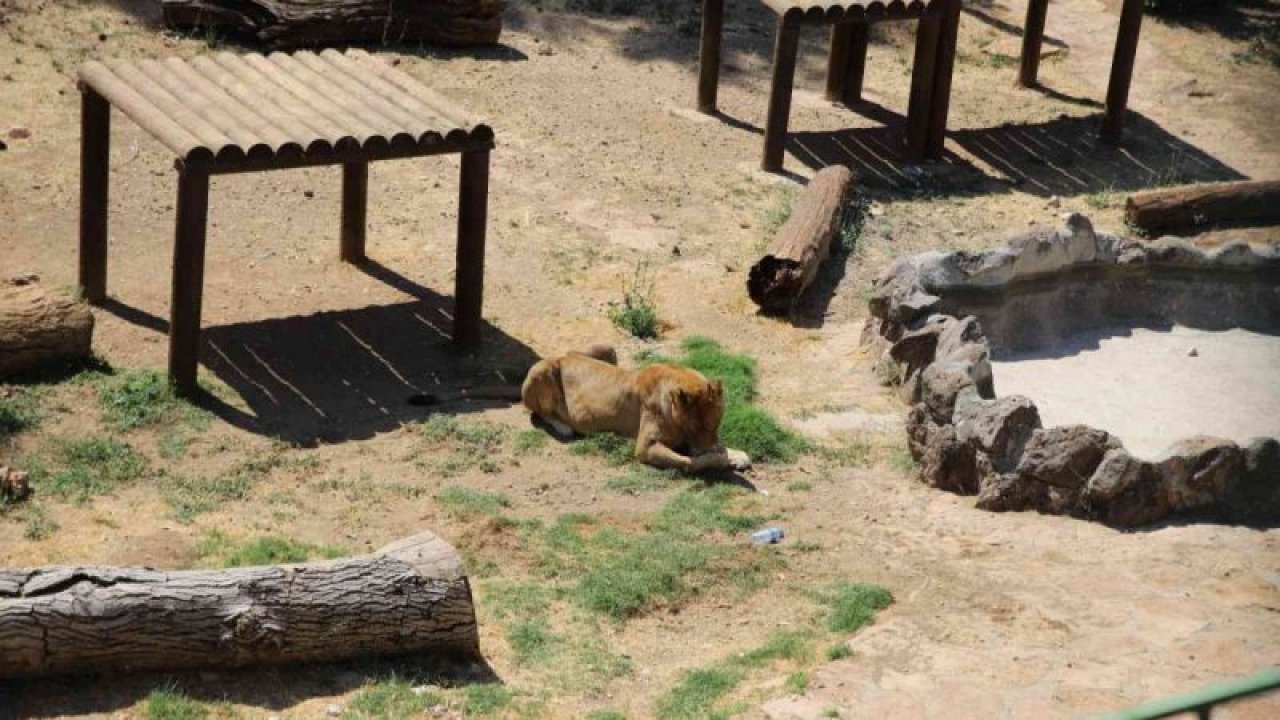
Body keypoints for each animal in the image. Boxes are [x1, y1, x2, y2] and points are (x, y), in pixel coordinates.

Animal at [517, 345, 747, 474]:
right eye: (693, 429)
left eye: (715, 425)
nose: (705, 447)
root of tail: (562, 356)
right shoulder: (645, 447)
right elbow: (691, 462)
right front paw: (719, 458)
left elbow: (719, 445)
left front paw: (737, 455)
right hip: (540, 371)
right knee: (537, 411)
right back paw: (563, 426)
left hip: (608, 349)